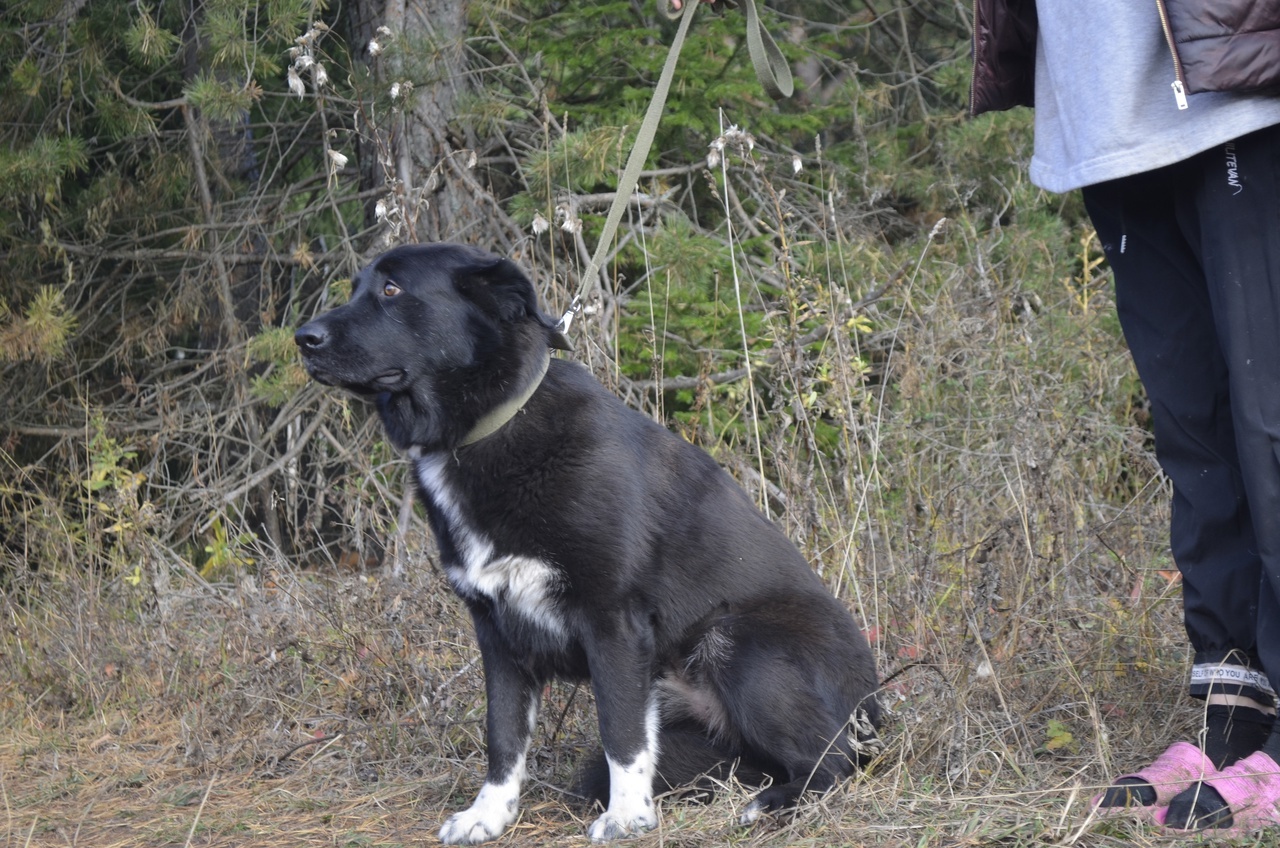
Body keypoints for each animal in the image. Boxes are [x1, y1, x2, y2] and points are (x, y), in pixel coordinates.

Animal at [295, 244, 880, 845]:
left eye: (392, 289)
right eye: (356, 286)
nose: (302, 337)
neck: (484, 432)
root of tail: (874, 704)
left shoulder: (613, 621)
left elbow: (620, 731)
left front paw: (627, 818)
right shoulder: (496, 631)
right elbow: (503, 735)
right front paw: (489, 815)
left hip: (738, 642)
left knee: (832, 762)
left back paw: (771, 803)